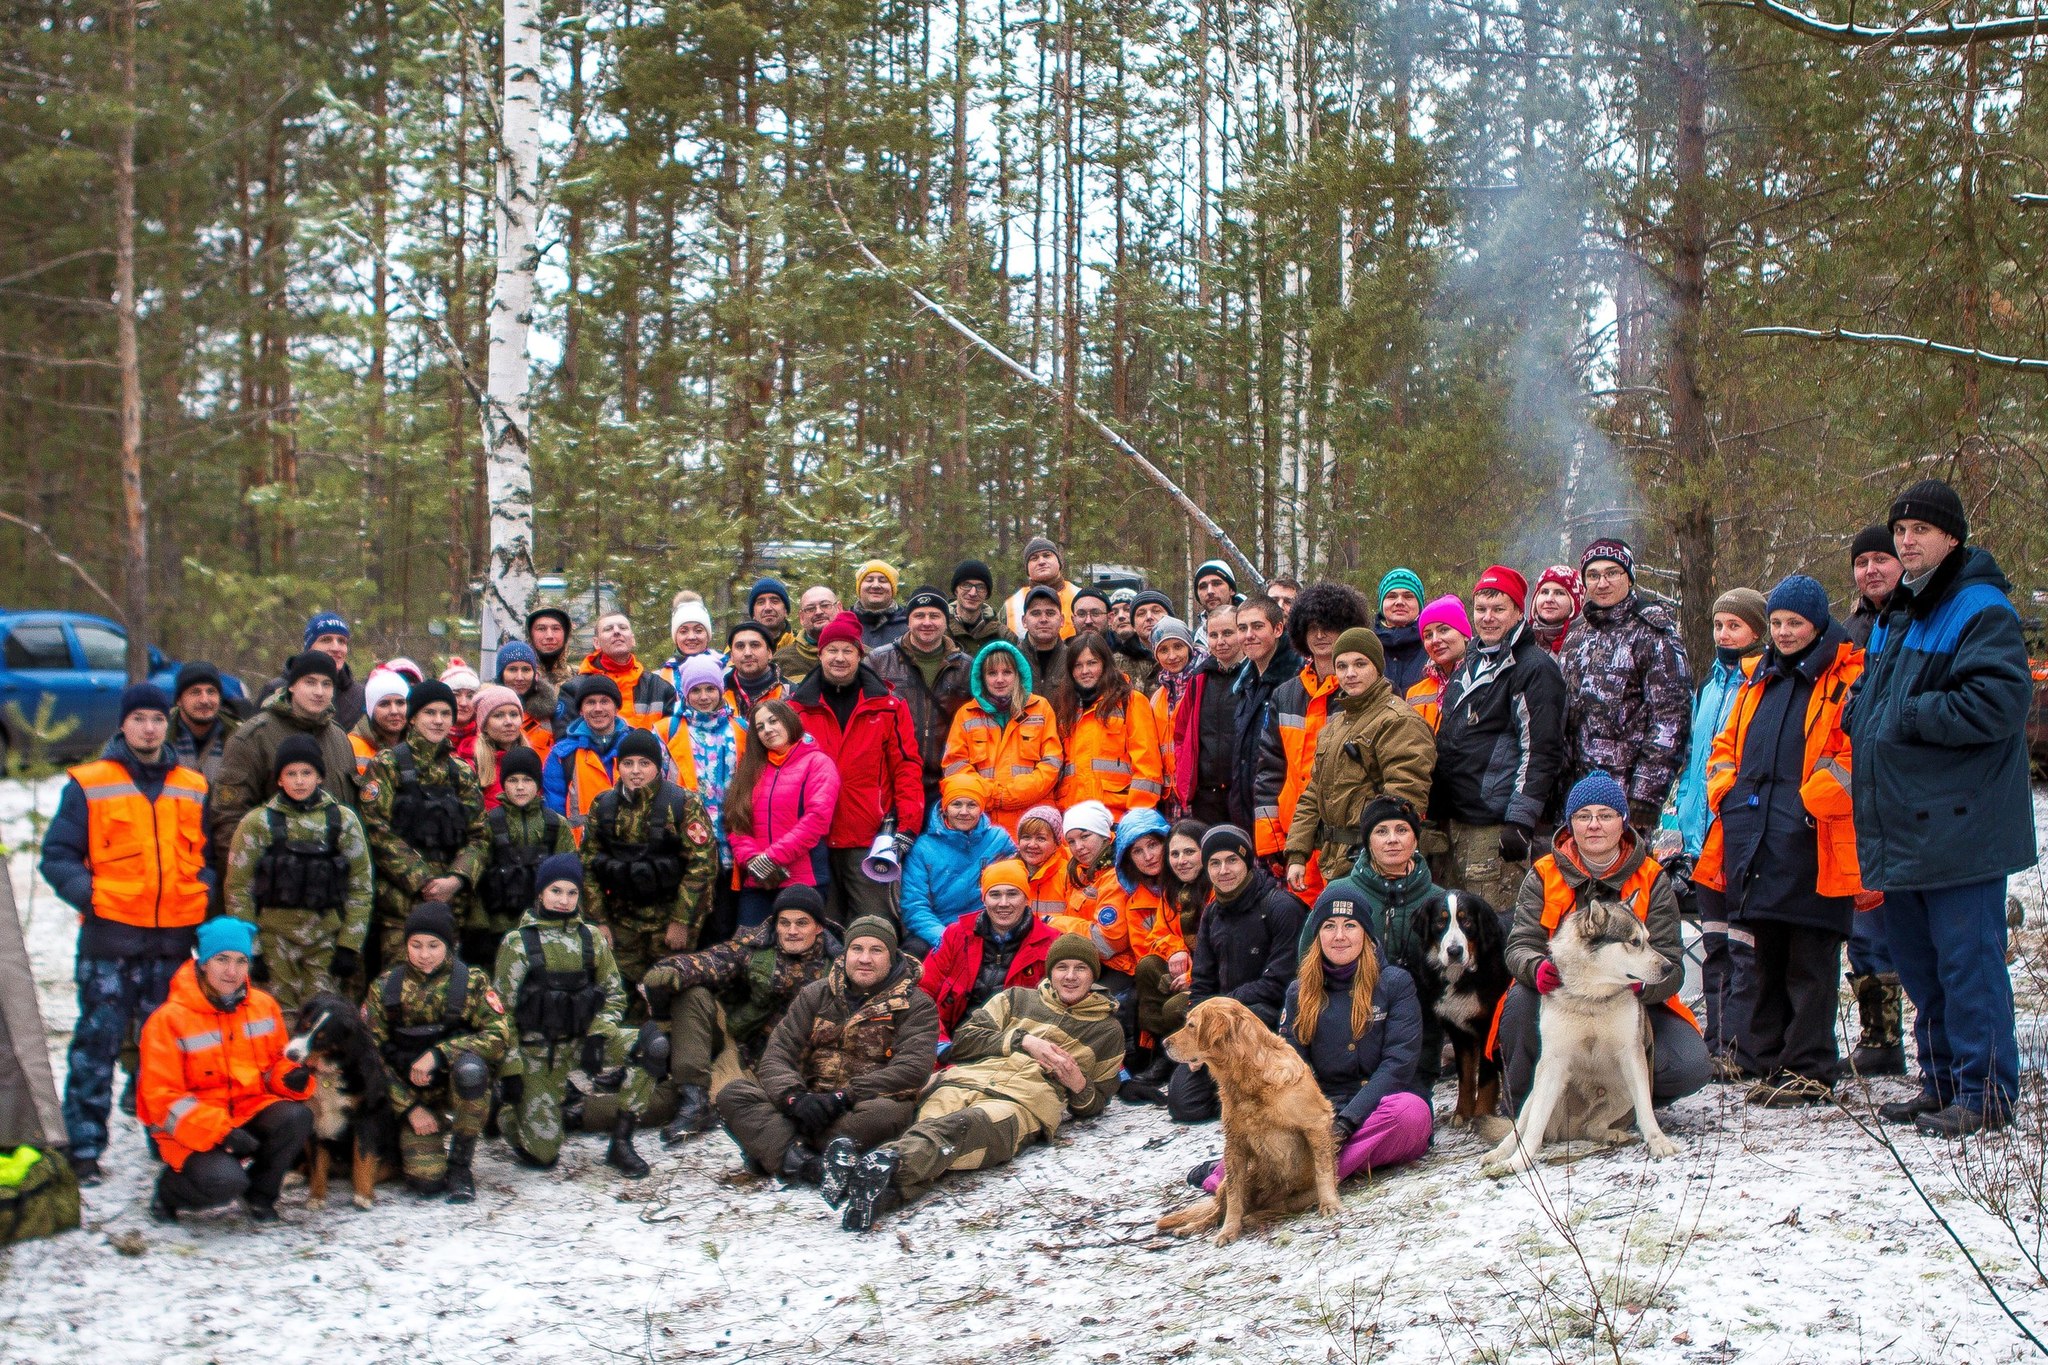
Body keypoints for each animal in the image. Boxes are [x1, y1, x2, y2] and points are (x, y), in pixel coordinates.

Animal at [1155, 994, 1343, 1252]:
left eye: (1191, 1025)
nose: (1164, 1043)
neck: (1246, 1076)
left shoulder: (1316, 1122)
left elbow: (1323, 1170)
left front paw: (1330, 1203)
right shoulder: (1234, 1145)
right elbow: (1235, 1199)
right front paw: (1228, 1231)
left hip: (1296, 1197)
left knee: (1276, 1210)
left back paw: (1254, 1218)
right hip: (1234, 1178)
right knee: (1218, 1211)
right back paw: (1193, 1227)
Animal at [1490, 896, 1679, 1178]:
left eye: (1648, 939)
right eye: (1634, 942)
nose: (1668, 967)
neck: (1592, 997)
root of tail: (1569, 1130)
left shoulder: (1631, 1055)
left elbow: (1646, 1113)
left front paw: (1659, 1143)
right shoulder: (1553, 1061)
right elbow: (1533, 1128)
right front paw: (1518, 1162)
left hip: (1626, 1089)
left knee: (1593, 1127)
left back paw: (1613, 1135)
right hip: (1537, 1091)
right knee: (1520, 1127)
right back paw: (1498, 1153)